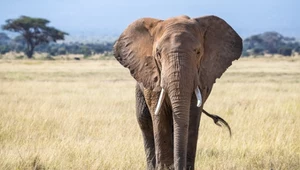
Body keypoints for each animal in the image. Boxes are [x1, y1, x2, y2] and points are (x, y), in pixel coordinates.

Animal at [113, 15, 243, 169]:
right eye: (158, 53)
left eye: (198, 52)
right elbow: (159, 115)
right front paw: (165, 167)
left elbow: (192, 116)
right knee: (144, 120)